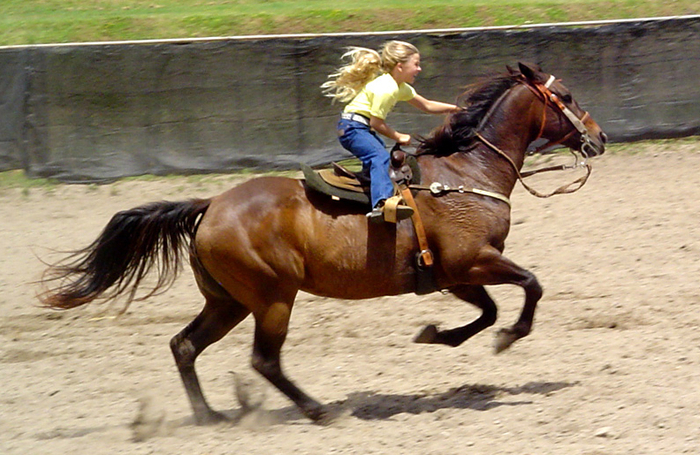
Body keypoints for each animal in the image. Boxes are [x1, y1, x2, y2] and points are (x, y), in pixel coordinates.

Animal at [39, 62, 608, 426]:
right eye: (568, 97)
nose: (599, 138)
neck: (468, 174)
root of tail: (211, 204)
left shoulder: (452, 273)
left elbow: (486, 311)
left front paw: (435, 335)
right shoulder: (474, 262)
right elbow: (530, 287)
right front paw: (509, 337)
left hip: (228, 301)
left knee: (184, 346)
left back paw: (210, 415)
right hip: (272, 298)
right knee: (264, 361)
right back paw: (317, 410)